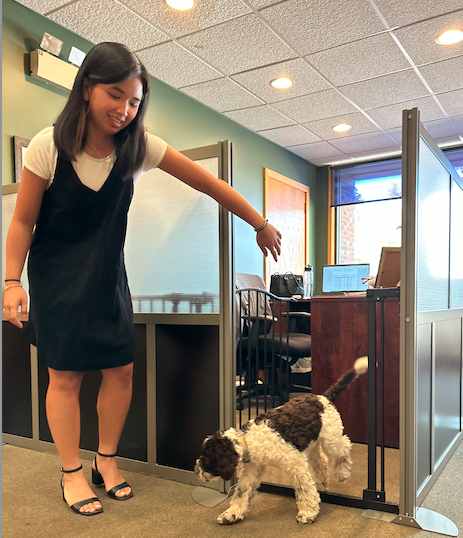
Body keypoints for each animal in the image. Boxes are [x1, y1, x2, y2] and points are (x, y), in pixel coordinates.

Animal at [194, 356, 368, 524]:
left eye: (207, 460)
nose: (196, 471)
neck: (248, 440)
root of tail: (323, 398)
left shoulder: (296, 464)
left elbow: (304, 489)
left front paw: (307, 513)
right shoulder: (252, 469)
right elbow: (242, 492)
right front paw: (231, 514)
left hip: (330, 439)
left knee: (344, 448)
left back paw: (342, 474)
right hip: (311, 444)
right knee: (320, 461)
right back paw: (320, 482)